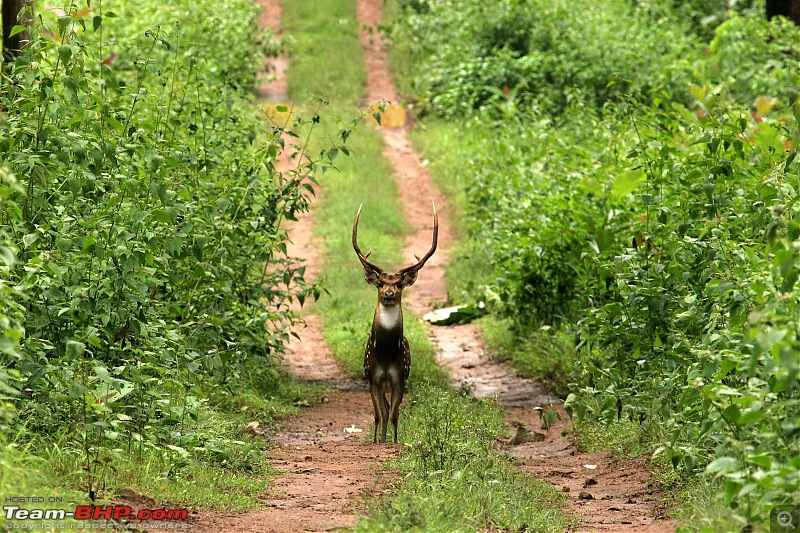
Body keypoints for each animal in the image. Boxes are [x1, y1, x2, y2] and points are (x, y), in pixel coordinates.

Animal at [352, 202, 438, 442]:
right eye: (380, 283)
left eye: (399, 284)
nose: (389, 294)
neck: (386, 353)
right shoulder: (372, 378)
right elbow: (378, 415)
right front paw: (377, 442)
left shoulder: (401, 377)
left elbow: (394, 415)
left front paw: (394, 441)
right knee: (382, 411)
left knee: (390, 410)